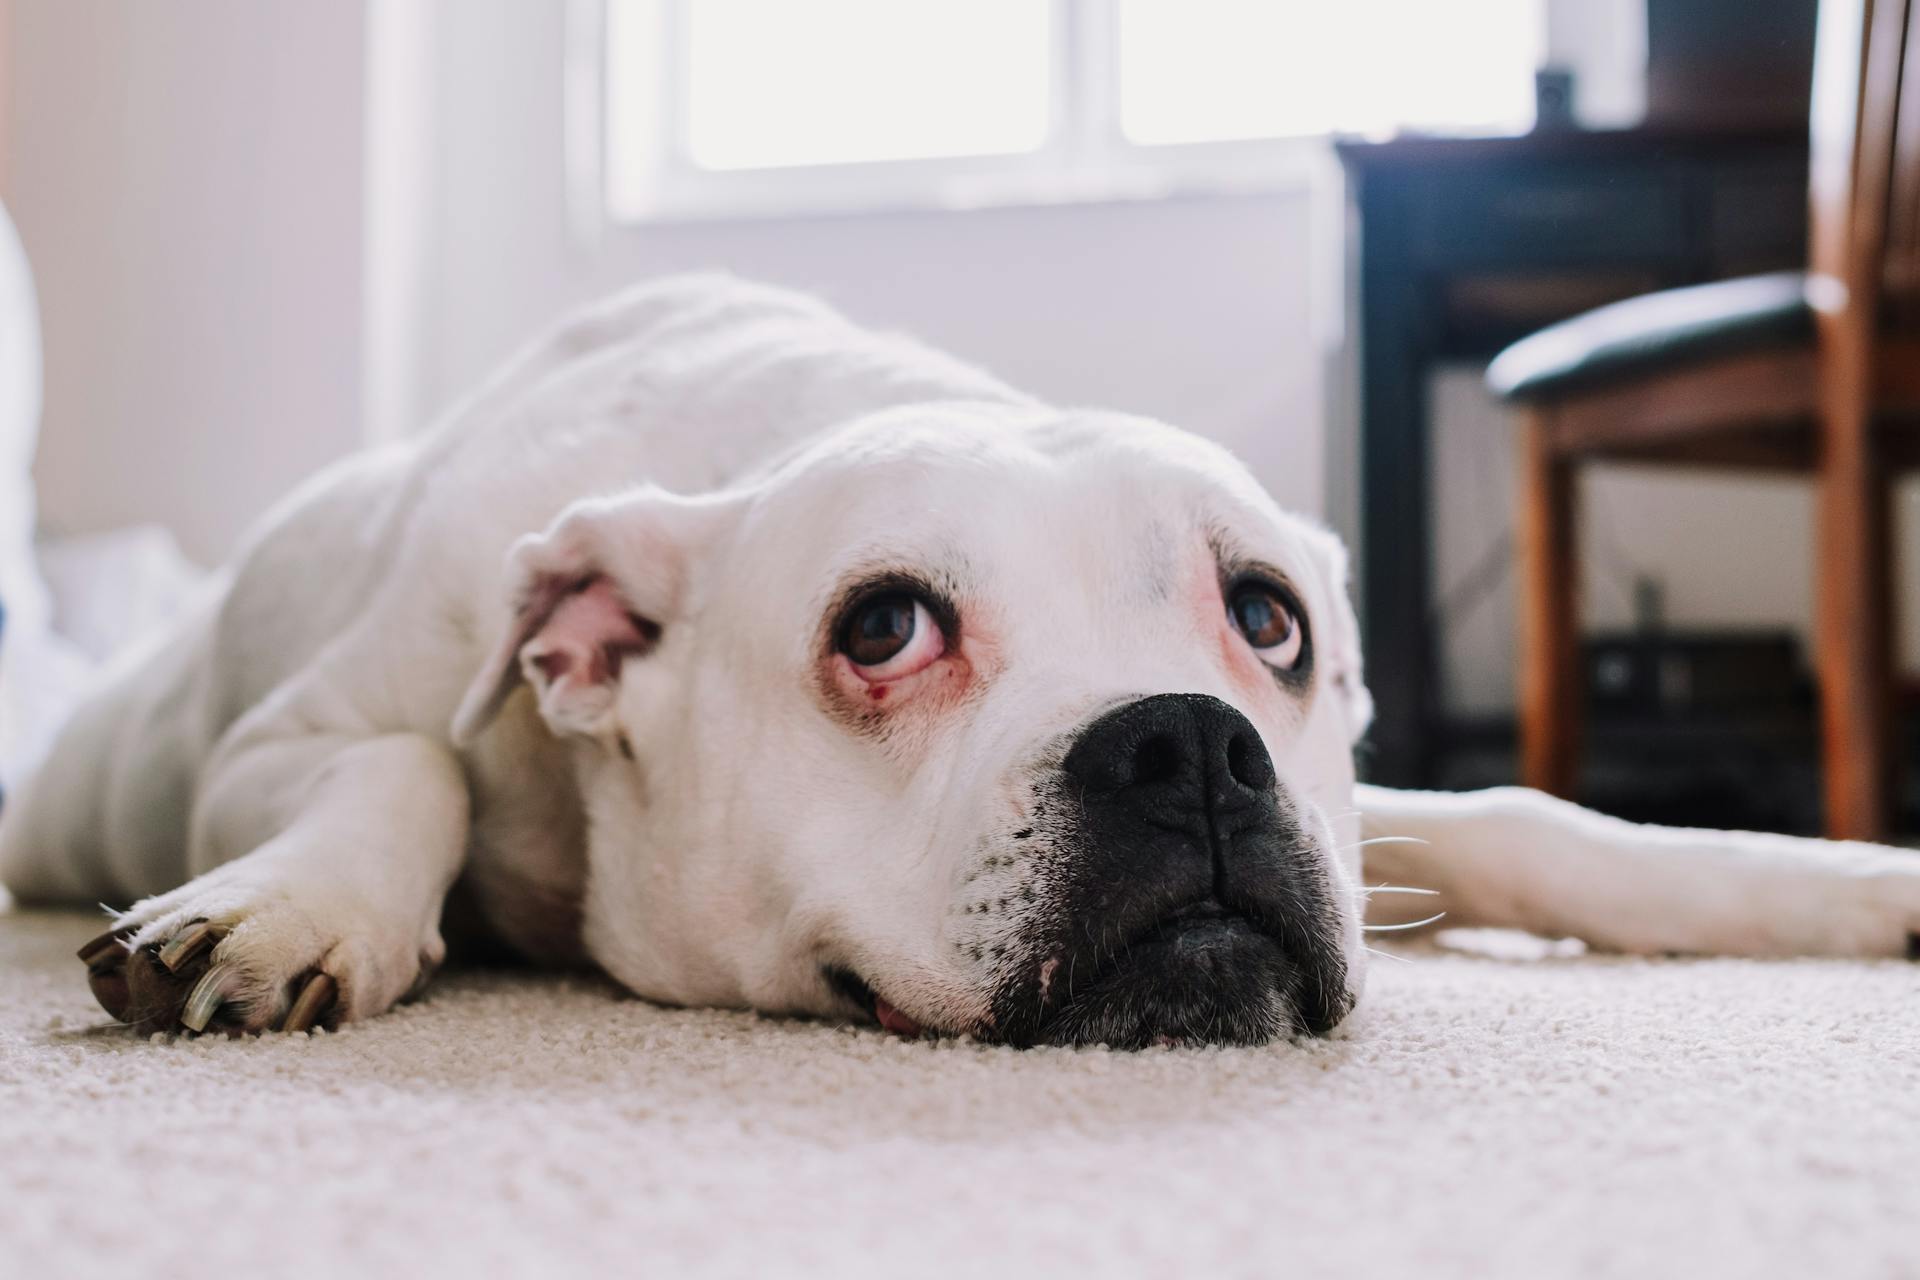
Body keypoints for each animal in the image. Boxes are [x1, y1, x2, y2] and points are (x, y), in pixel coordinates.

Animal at [3, 276, 1920, 1043]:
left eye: (1270, 621)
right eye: (882, 628)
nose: (1190, 746)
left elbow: (1535, 820)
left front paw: (1842, 887)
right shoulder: (284, 740)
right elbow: (406, 762)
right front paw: (283, 912)